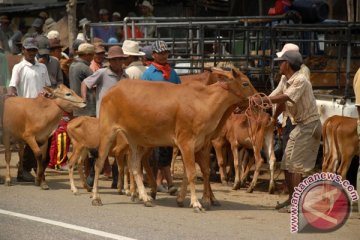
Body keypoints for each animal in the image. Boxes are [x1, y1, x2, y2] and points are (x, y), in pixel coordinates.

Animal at [91, 66, 256, 211]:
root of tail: (112, 89)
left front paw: (189, 199)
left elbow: (199, 171)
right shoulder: (186, 143)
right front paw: (196, 203)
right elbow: (192, 173)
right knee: (99, 163)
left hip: (137, 141)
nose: (259, 98)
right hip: (108, 133)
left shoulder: (200, 145)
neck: (203, 102)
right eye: (245, 83)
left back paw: (144, 197)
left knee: (135, 166)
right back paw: (96, 197)